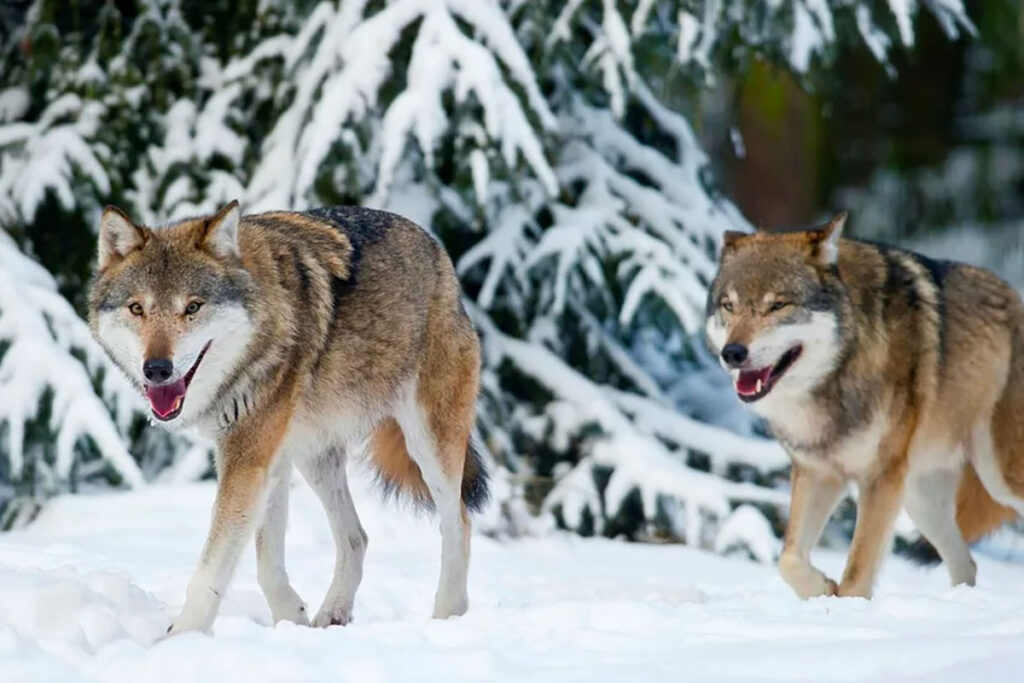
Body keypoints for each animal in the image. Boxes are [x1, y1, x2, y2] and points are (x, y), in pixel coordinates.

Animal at [704, 214, 1024, 598]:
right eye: (729, 306)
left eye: (778, 305)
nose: (732, 353)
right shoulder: (818, 472)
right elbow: (789, 559)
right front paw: (822, 589)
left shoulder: (878, 478)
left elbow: (856, 575)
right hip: (921, 499)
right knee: (967, 564)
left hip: (999, 478)